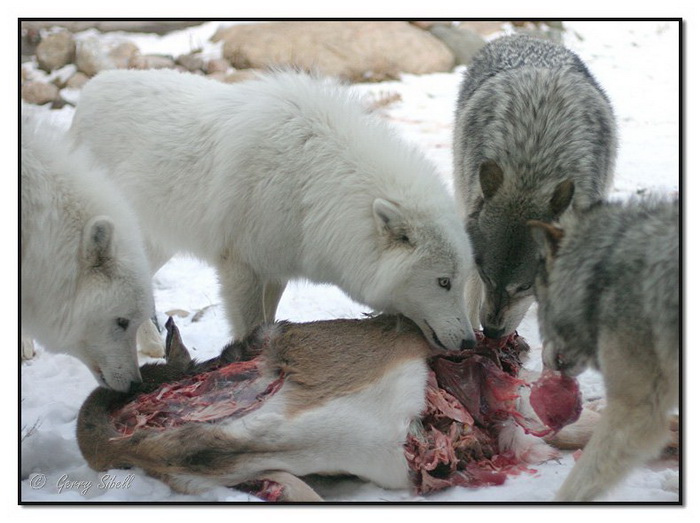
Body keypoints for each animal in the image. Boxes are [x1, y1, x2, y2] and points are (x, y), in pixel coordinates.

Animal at [70, 69, 475, 352]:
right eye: (443, 282)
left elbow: (270, 316)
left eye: (460, 281)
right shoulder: (240, 268)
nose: (472, 342)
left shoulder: (277, 267)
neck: (313, 179)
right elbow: (250, 325)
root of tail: (90, 88)